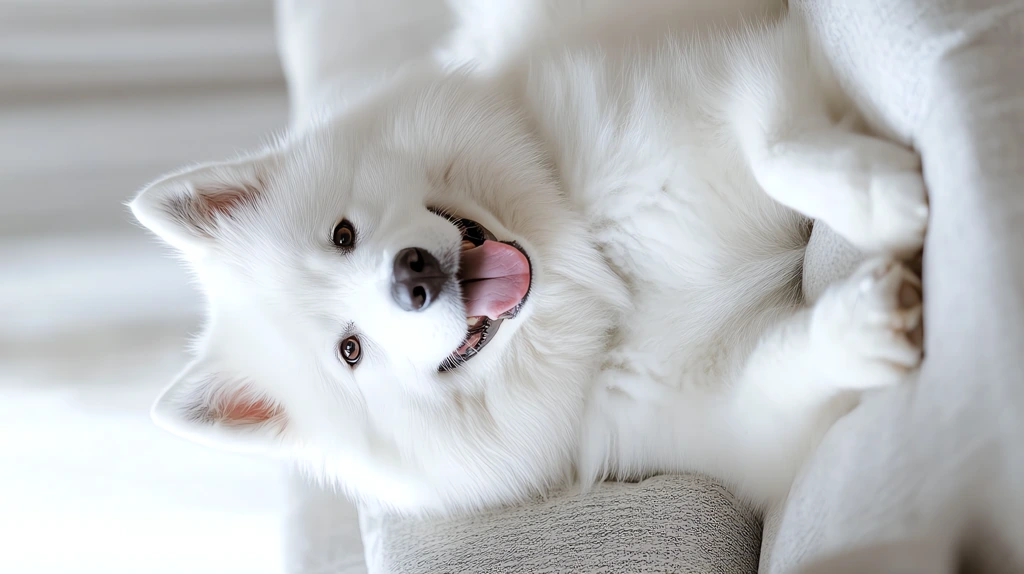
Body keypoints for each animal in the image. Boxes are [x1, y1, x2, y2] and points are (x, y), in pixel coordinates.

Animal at [130, 3, 929, 515]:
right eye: (350, 351)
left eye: (343, 236)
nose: (414, 275)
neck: (601, 274)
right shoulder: (723, 418)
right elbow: (782, 375)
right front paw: (867, 325)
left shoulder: (747, 68)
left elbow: (778, 147)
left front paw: (880, 196)